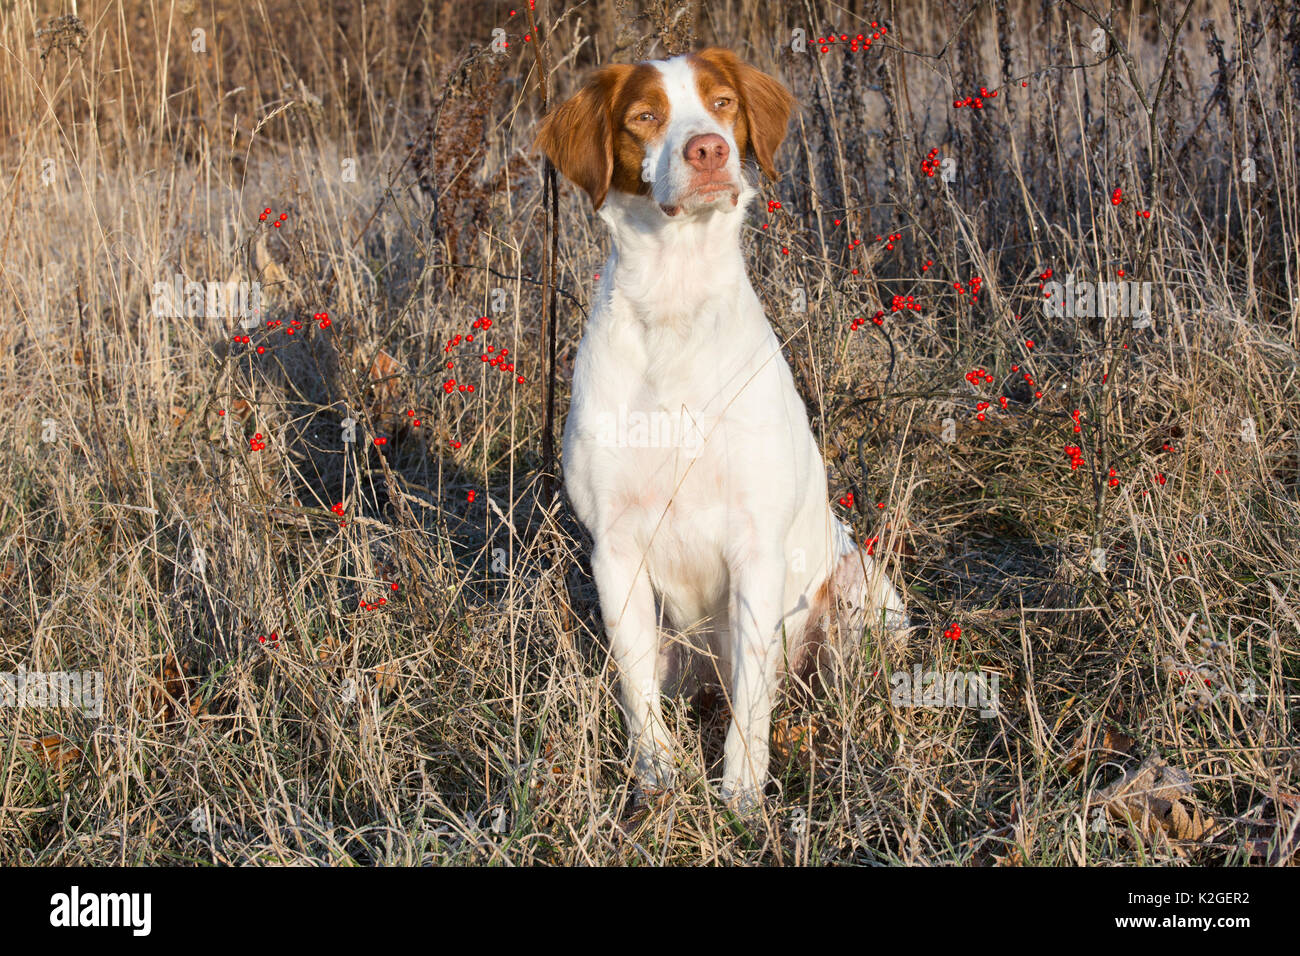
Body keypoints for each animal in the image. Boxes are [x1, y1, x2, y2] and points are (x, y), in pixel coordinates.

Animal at [533, 46, 909, 806]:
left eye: (723, 103)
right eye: (644, 115)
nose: (708, 149)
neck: (674, 308)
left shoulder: (756, 547)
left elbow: (753, 694)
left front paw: (739, 792)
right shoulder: (615, 551)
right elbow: (636, 686)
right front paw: (657, 778)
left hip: (861, 589)